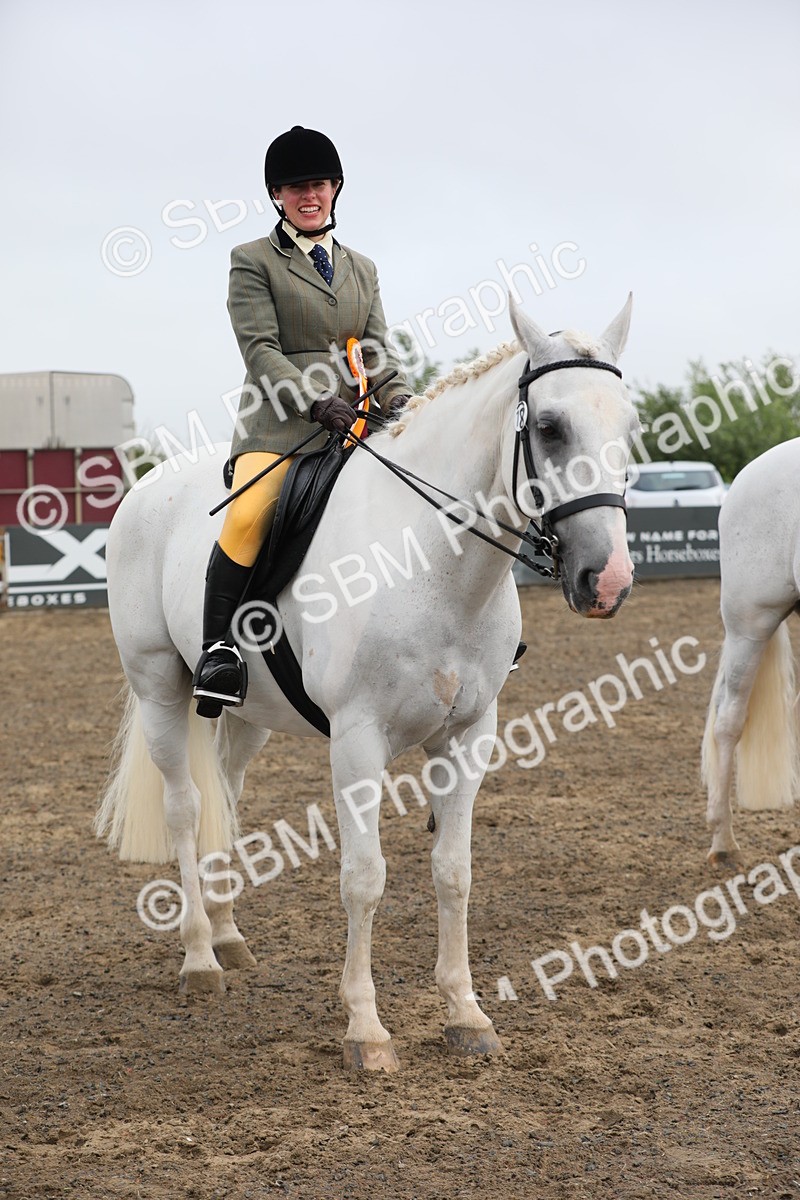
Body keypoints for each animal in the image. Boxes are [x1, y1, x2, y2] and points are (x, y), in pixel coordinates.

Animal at [95, 295, 638, 1072]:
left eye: (629, 427)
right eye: (551, 427)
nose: (609, 581)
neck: (430, 559)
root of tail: (146, 487)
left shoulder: (469, 735)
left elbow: (453, 871)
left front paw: (466, 1014)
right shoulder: (357, 741)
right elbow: (365, 876)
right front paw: (366, 1029)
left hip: (245, 715)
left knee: (225, 796)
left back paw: (228, 938)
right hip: (158, 687)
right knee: (185, 807)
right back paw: (200, 958)